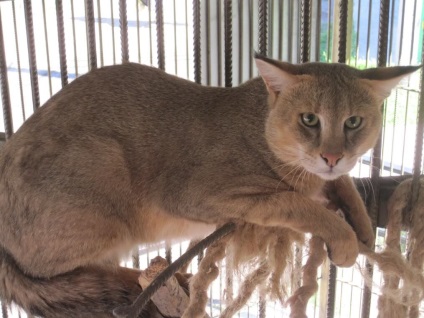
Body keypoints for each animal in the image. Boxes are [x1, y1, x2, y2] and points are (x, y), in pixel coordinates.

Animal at [0, 56, 420, 316]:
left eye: (353, 122)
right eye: (309, 119)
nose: (331, 155)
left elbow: (344, 183)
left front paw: (361, 223)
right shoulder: (200, 195)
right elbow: (295, 202)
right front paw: (344, 236)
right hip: (104, 177)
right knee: (50, 273)